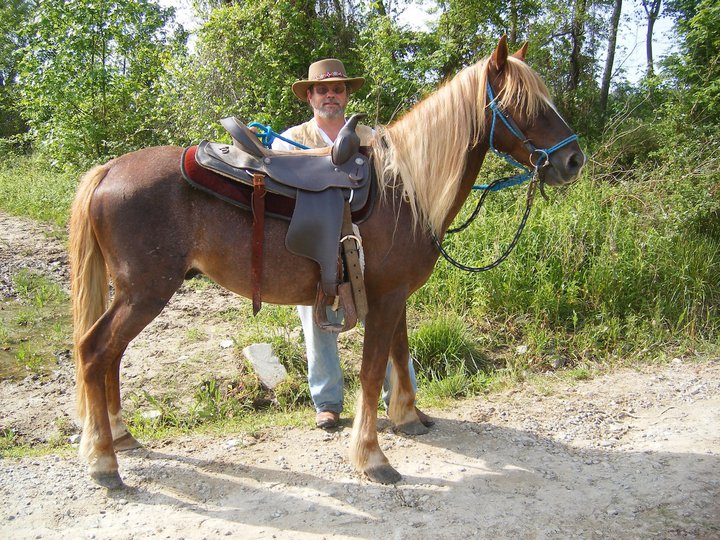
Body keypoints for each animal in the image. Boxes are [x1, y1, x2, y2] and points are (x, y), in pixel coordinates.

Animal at [67, 35, 584, 488]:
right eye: (525, 104)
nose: (574, 160)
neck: (405, 190)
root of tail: (109, 169)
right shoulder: (386, 296)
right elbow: (372, 372)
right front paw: (372, 457)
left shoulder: (394, 296)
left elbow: (399, 355)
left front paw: (407, 418)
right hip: (146, 292)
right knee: (94, 352)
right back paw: (103, 462)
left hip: (133, 294)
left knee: (111, 355)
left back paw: (120, 436)